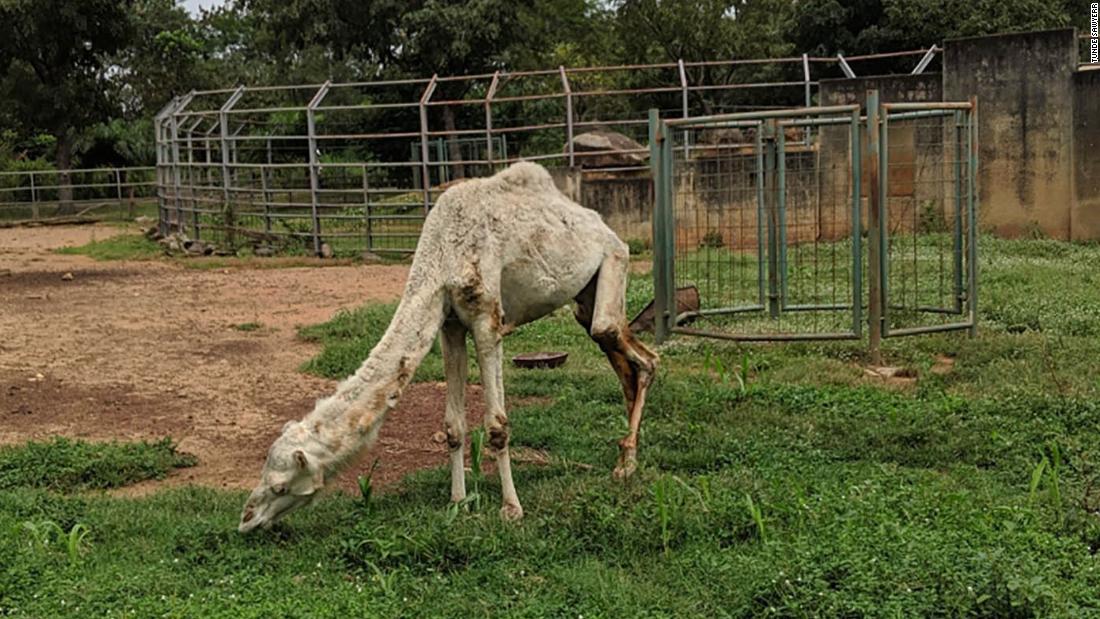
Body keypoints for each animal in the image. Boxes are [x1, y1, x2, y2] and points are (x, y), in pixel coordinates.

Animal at [237, 162, 655, 534]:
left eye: (280, 486)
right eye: (263, 473)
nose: (246, 521)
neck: (442, 253)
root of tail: (606, 227)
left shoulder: (487, 320)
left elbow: (497, 426)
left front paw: (511, 509)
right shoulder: (450, 325)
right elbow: (453, 426)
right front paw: (458, 502)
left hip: (613, 261)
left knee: (642, 355)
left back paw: (627, 464)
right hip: (584, 299)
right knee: (621, 358)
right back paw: (625, 456)